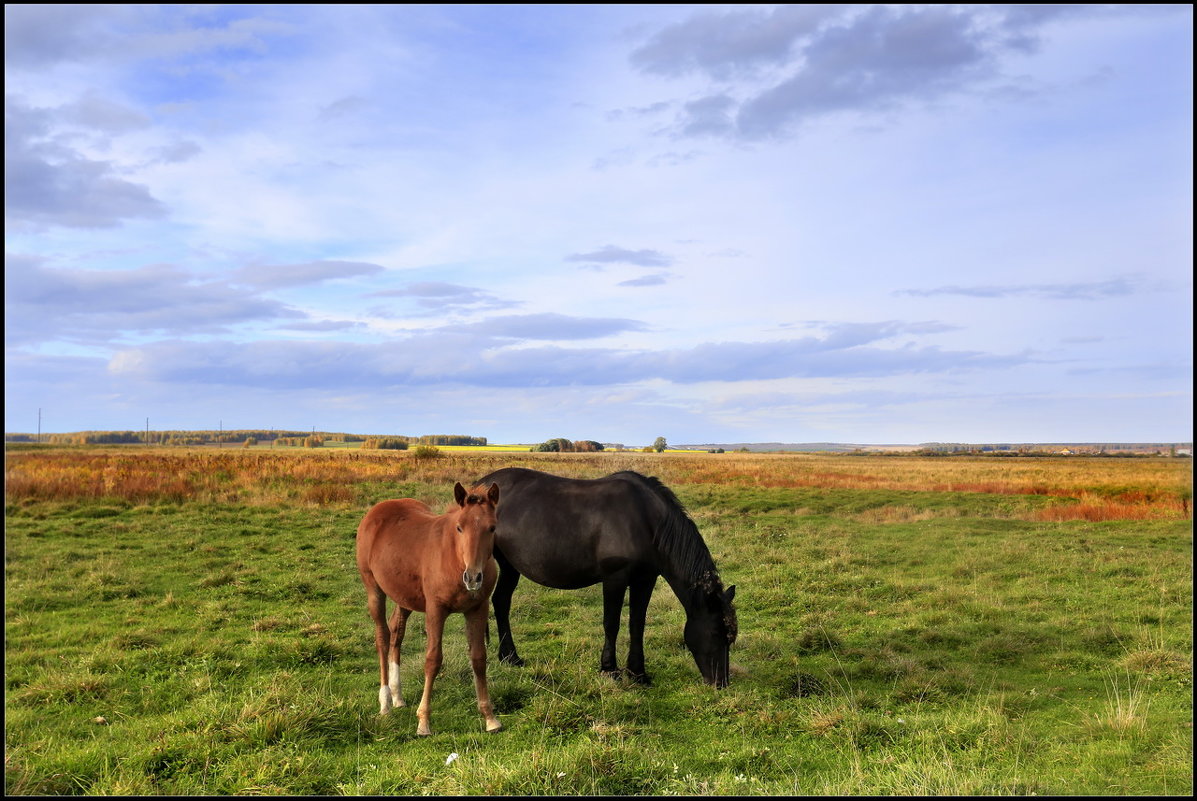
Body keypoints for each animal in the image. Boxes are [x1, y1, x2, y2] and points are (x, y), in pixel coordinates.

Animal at [354, 478, 505, 732]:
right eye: (459, 527)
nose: (473, 578)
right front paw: (423, 721)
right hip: (373, 588)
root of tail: (377, 510)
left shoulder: (478, 608)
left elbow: (478, 658)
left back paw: (398, 696)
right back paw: (385, 702)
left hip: (403, 596)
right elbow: (433, 659)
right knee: (382, 637)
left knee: (397, 632)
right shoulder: (435, 610)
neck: (454, 558)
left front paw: (489, 717)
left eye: (492, 528)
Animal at [474, 469, 737, 689]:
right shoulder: (615, 579)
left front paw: (638, 674)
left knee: (501, 602)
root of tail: (479, 484)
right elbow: (612, 623)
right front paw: (610, 670)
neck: (645, 520)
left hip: (510, 566)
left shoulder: (645, 580)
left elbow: (637, 624)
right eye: (716, 633)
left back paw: (510, 657)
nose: (721, 683)